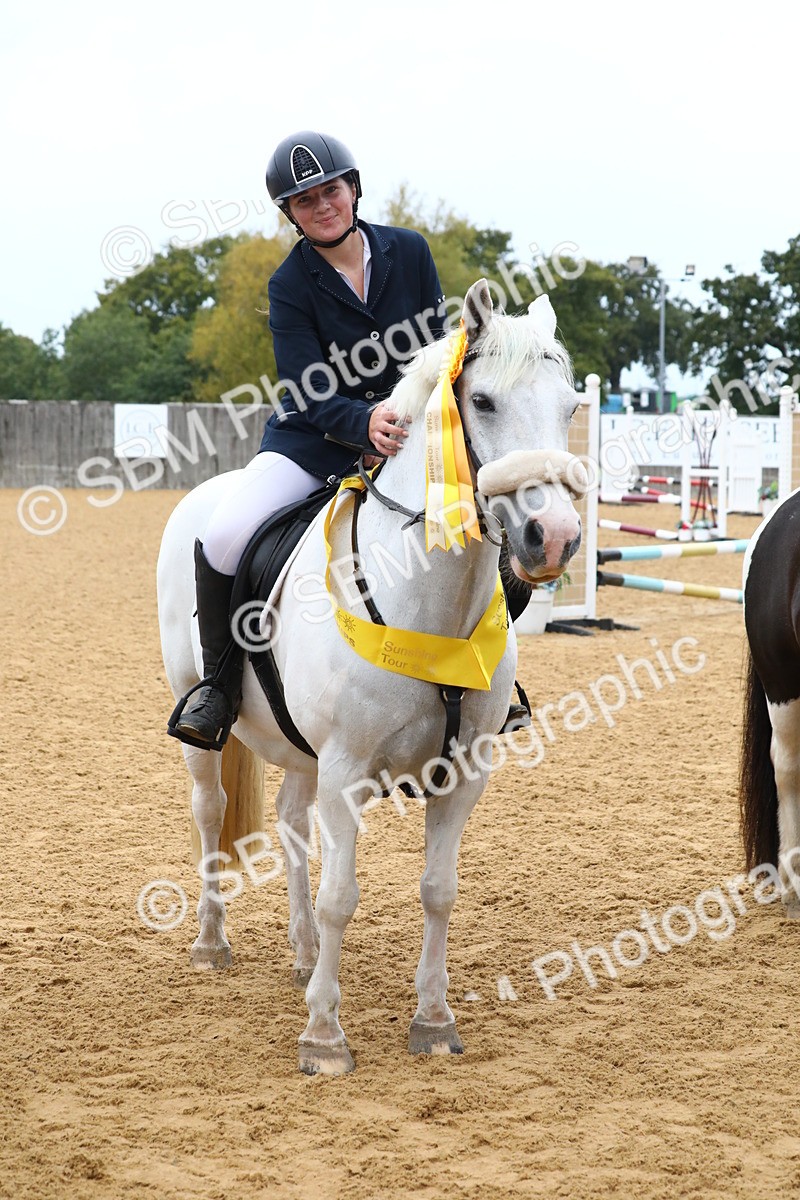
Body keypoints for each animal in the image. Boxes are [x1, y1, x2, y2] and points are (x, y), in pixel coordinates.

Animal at [157, 279, 586, 1075]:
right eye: (483, 402)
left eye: (571, 405)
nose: (555, 540)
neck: (432, 602)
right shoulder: (347, 771)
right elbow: (342, 897)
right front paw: (324, 1037)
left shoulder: (462, 773)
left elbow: (438, 890)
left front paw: (433, 1021)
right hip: (201, 718)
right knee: (209, 809)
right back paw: (211, 941)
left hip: (302, 754)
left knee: (291, 825)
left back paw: (301, 954)